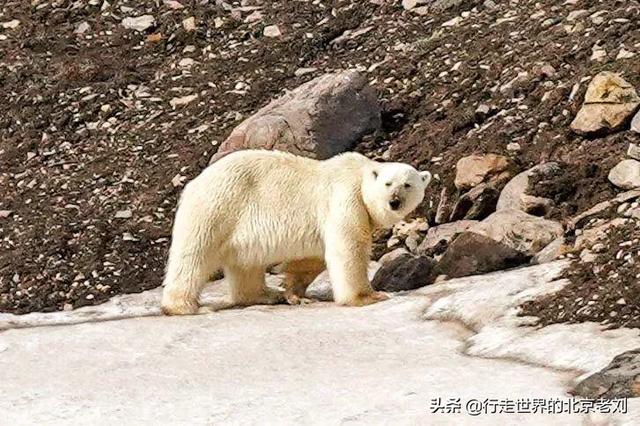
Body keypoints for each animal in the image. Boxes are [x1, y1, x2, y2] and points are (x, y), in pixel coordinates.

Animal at [161, 148, 430, 314]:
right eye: (388, 183)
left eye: (408, 184)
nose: (395, 201)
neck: (359, 175)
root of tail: (194, 183)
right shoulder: (345, 198)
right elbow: (347, 249)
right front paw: (367, 297)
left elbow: (312, 258)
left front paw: (294, 292)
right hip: (218, 207)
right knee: (193, 256)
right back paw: (186, 306)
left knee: (246, 265)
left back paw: (266, 294)